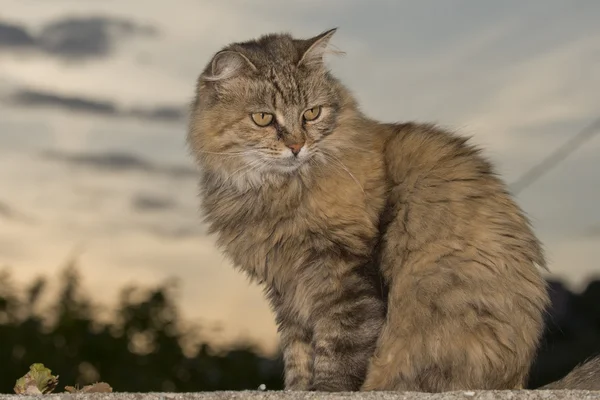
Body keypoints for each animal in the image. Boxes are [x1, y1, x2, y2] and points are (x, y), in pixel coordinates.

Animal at [185, 29, 596, 392]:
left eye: (312, 113)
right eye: (263, 118)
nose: (297, 147)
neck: (276, 192)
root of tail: (517, 382)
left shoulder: (343, 273)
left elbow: (338, 352)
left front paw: (325, 390)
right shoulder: (287, 286)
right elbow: (298, 354)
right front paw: (298, 390)